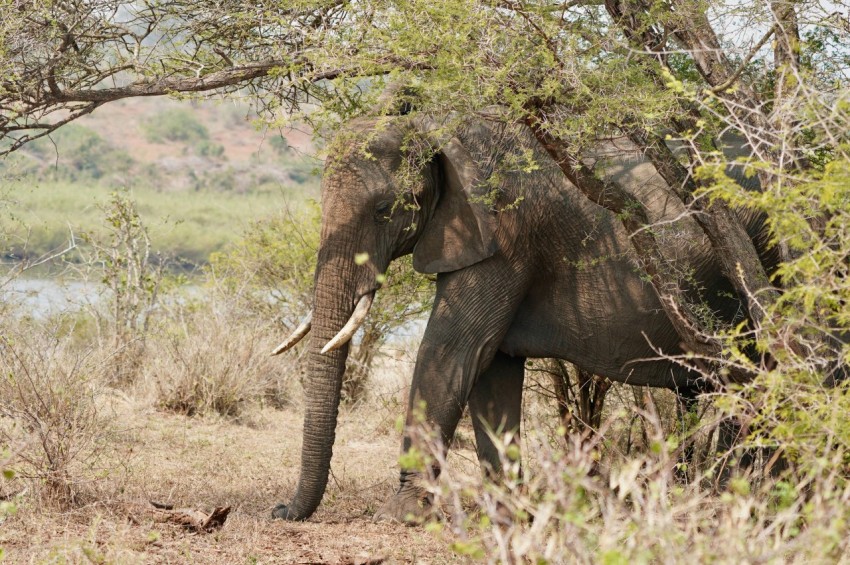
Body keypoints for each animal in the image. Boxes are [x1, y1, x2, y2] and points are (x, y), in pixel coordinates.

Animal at [268, 112, 772, 524]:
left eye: (383, 210)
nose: (280, 511)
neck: (436, 126)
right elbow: (491, 369)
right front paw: (512, 516)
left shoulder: (505, 234)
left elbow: (452, 351)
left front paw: (399, 516)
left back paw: (735, 501)